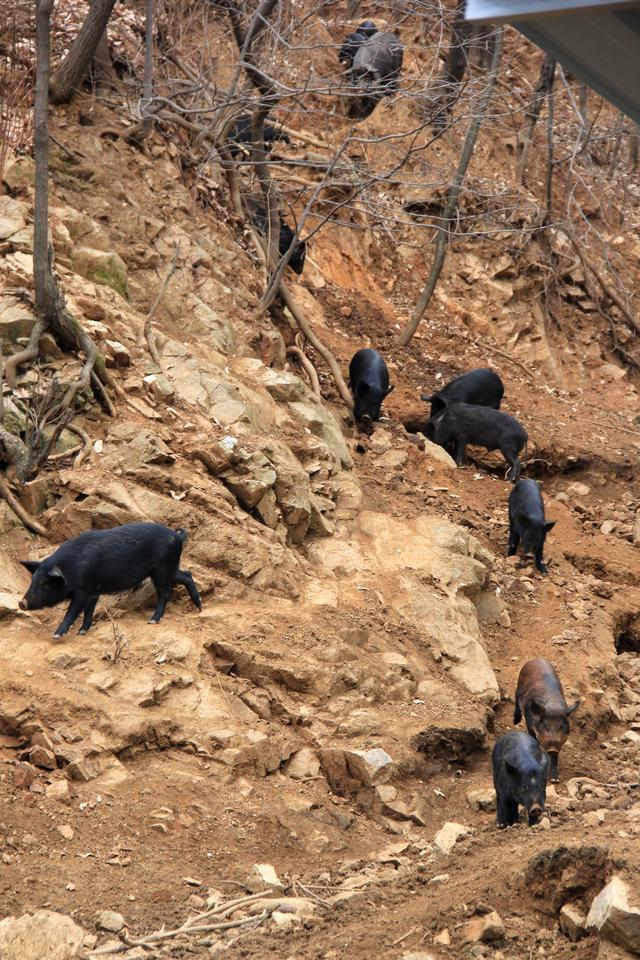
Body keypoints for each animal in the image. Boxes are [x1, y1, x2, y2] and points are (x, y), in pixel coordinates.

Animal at [18, 520, 201, 640]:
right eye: (33, 580)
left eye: (45, 584)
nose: (21, 603)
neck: (71, 569)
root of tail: (177, 536)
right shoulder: (93, 591)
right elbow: (89, 610)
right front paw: (82, 631)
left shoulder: (83, 590)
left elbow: (72, 611)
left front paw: (56, 635)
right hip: (170, 568)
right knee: (187, 575)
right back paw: (199, 607)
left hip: (161, 570)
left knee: (164, 592)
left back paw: (153, 620)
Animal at [516, 656, 580, 784]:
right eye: (545, 725)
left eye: (561, 726)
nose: (552, 744)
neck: (552, 705)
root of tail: (536, 659)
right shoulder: (529, 724)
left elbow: (554, 757)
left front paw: (555, 780)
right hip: (519, 684)